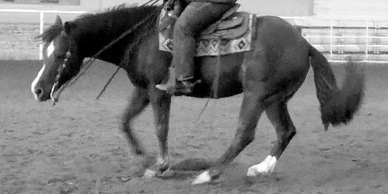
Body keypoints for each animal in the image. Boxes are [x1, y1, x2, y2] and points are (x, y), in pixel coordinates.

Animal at [29, 3, 364, 184]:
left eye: (60, 55)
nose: (38, 90)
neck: (141, 36)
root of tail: (305, 44)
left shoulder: (159, 92)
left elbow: (160, 127)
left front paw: (161, 165)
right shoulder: (143, 89)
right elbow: (124, 121)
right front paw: (143, 158)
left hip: (256, 95)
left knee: (245, 133)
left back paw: (208, 174)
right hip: (274, 98)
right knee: (286, 131)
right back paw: (260, 169)